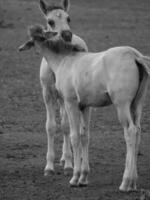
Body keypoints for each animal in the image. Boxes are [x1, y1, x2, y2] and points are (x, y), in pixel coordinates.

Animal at [19, 25, 150, 192]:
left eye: (32, 39)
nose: (22, 47)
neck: (65, 61)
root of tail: (134, 56)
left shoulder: (71, 103)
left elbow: (74, 137)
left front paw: (74, 178)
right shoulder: (85, 107)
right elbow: (84, 136)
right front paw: (83, 177)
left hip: (122, 105)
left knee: (131, 132)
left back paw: (126, 182)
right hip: (136, 105)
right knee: (138, 131)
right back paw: (133, 183)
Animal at [38, 0, 88, 175]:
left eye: (69, 18)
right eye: (50, 21)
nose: (67, 35)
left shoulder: (67, 97)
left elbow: (66, 126)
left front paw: (68, 164)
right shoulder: (47, 95)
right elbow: (50, 126)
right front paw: (49, 167)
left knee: (71, 126)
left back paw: (71, 159)